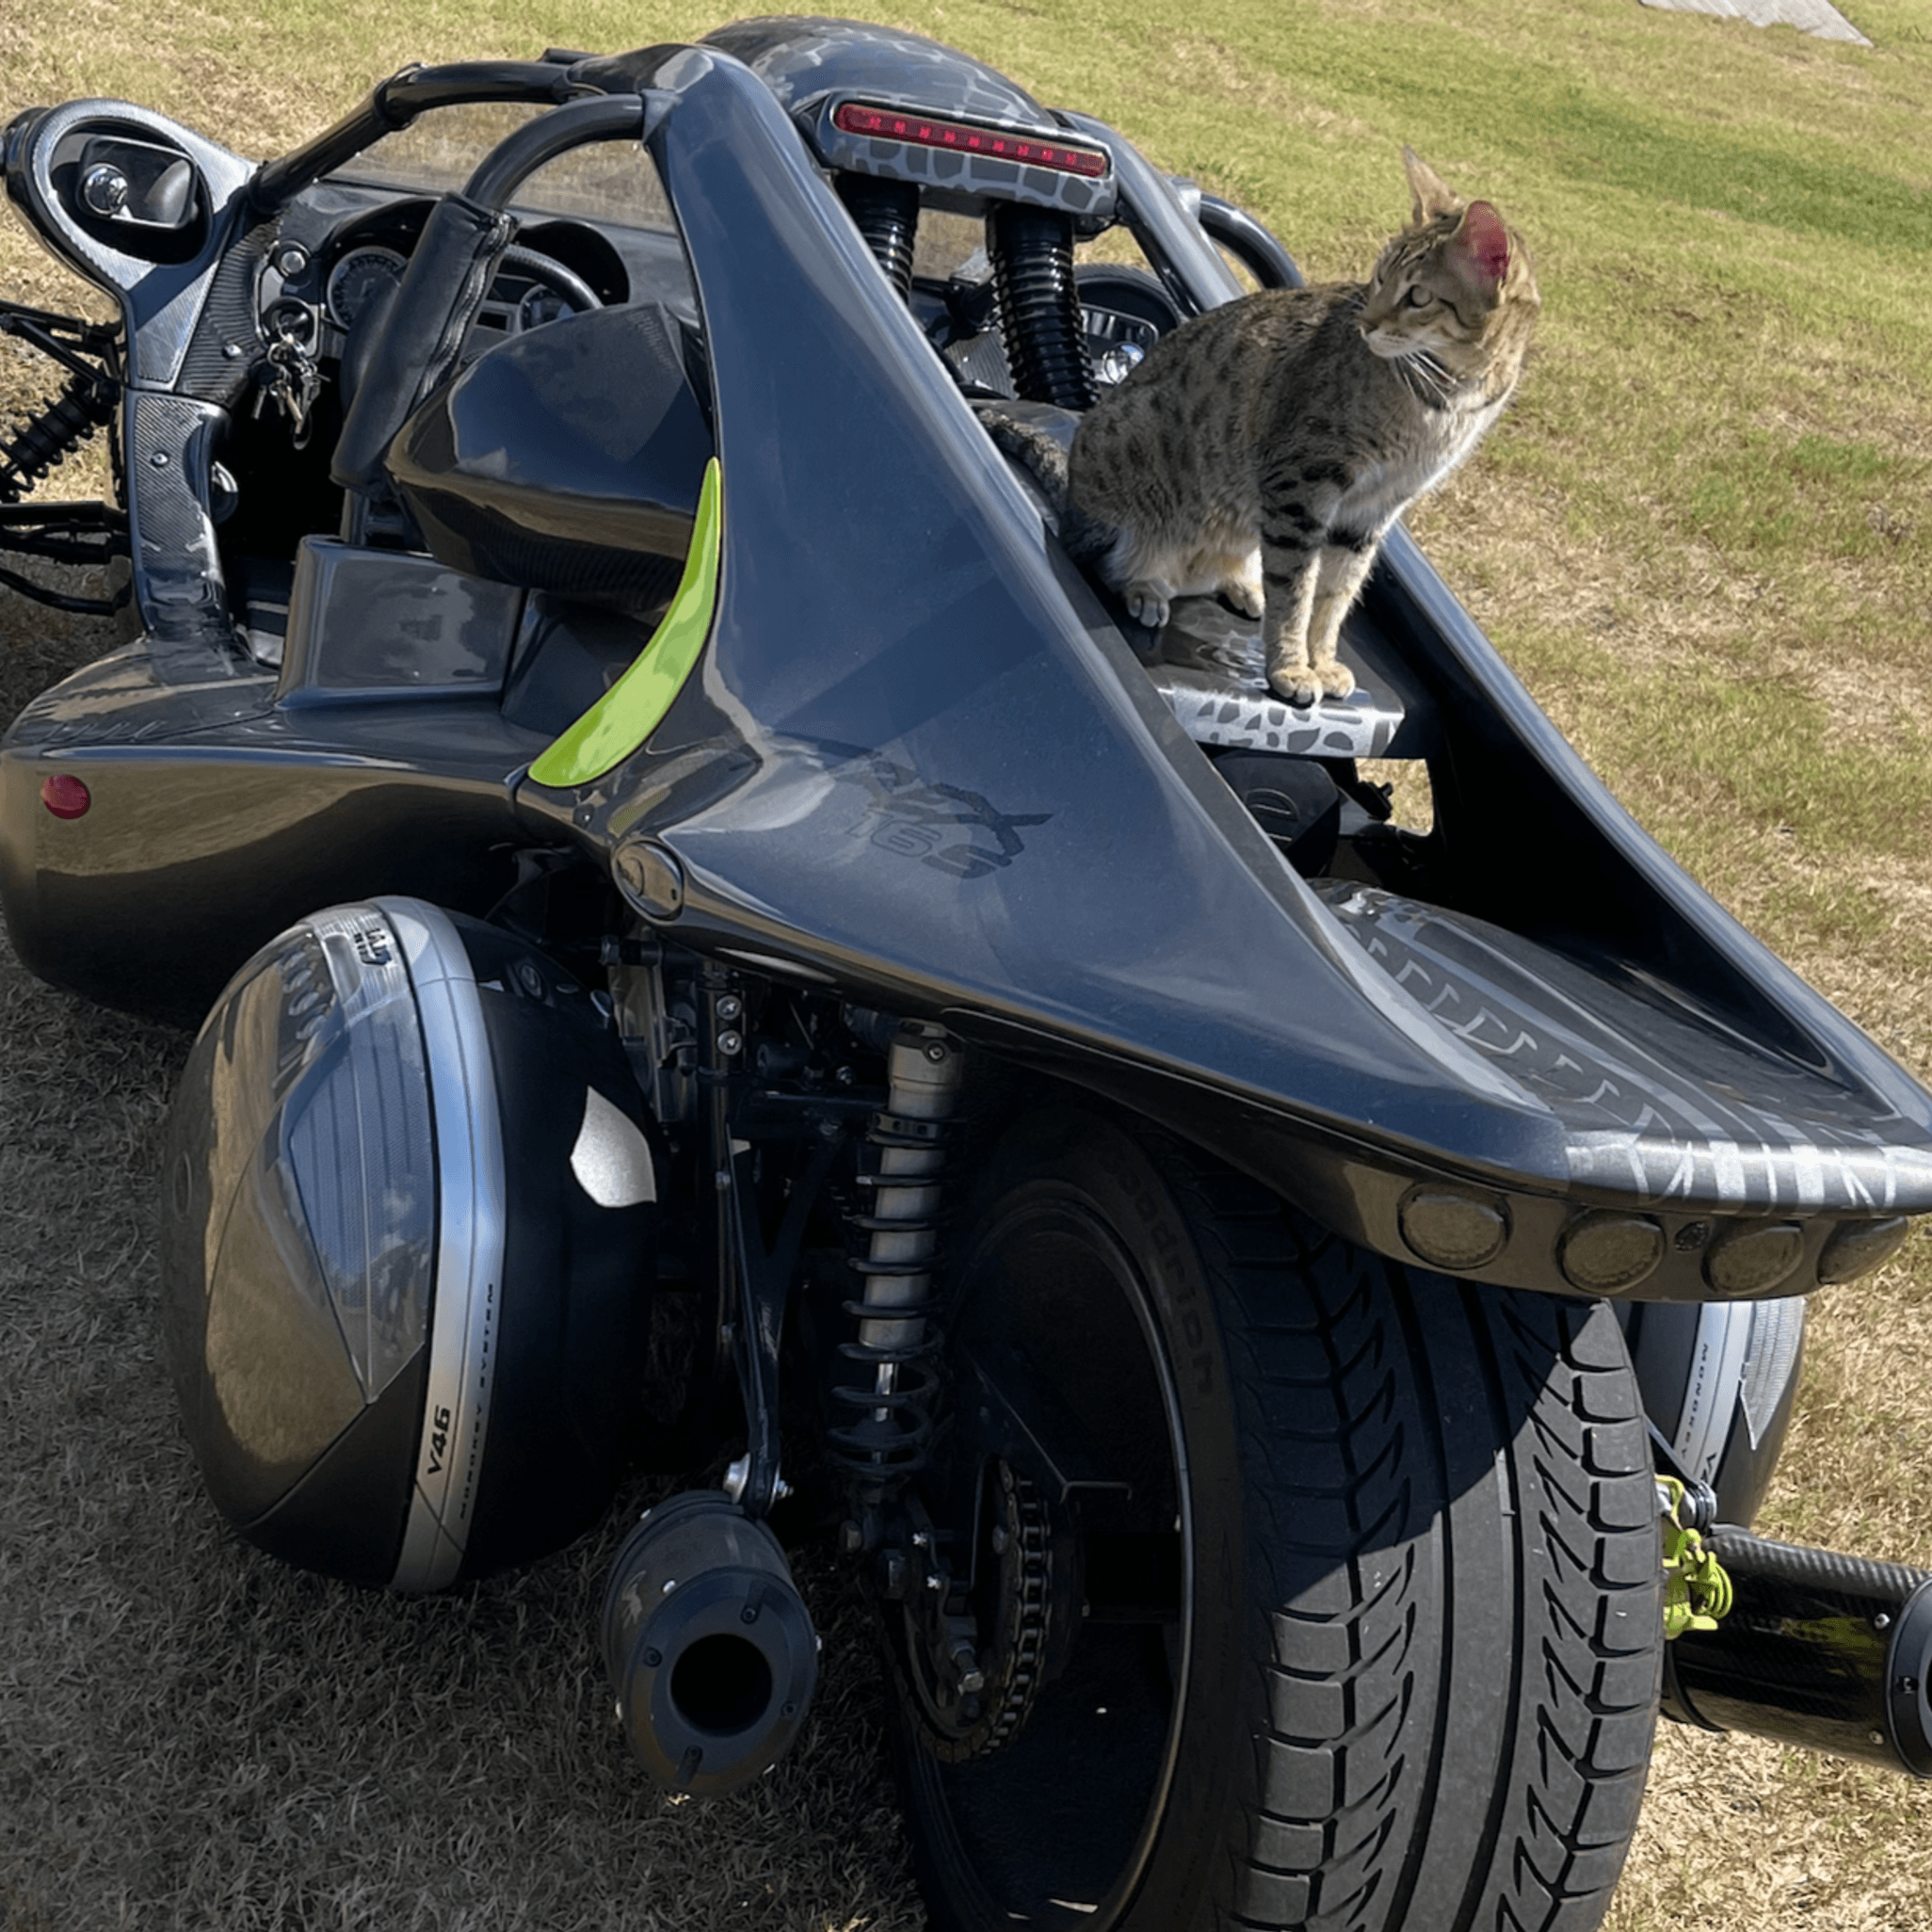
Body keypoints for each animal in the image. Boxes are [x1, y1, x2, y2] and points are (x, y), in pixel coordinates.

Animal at [1012, 151, 1538, 707]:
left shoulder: (1371, 513)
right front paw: (1290, 667)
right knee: (1101, 560)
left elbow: (1333, 596)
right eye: (1378, 279)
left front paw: (1320, 661)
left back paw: (1240, 584)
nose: (1367, 324)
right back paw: (1145, 587)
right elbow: (1297, 591)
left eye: (1417, 296)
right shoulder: (1302, 487)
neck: (1447, 398)